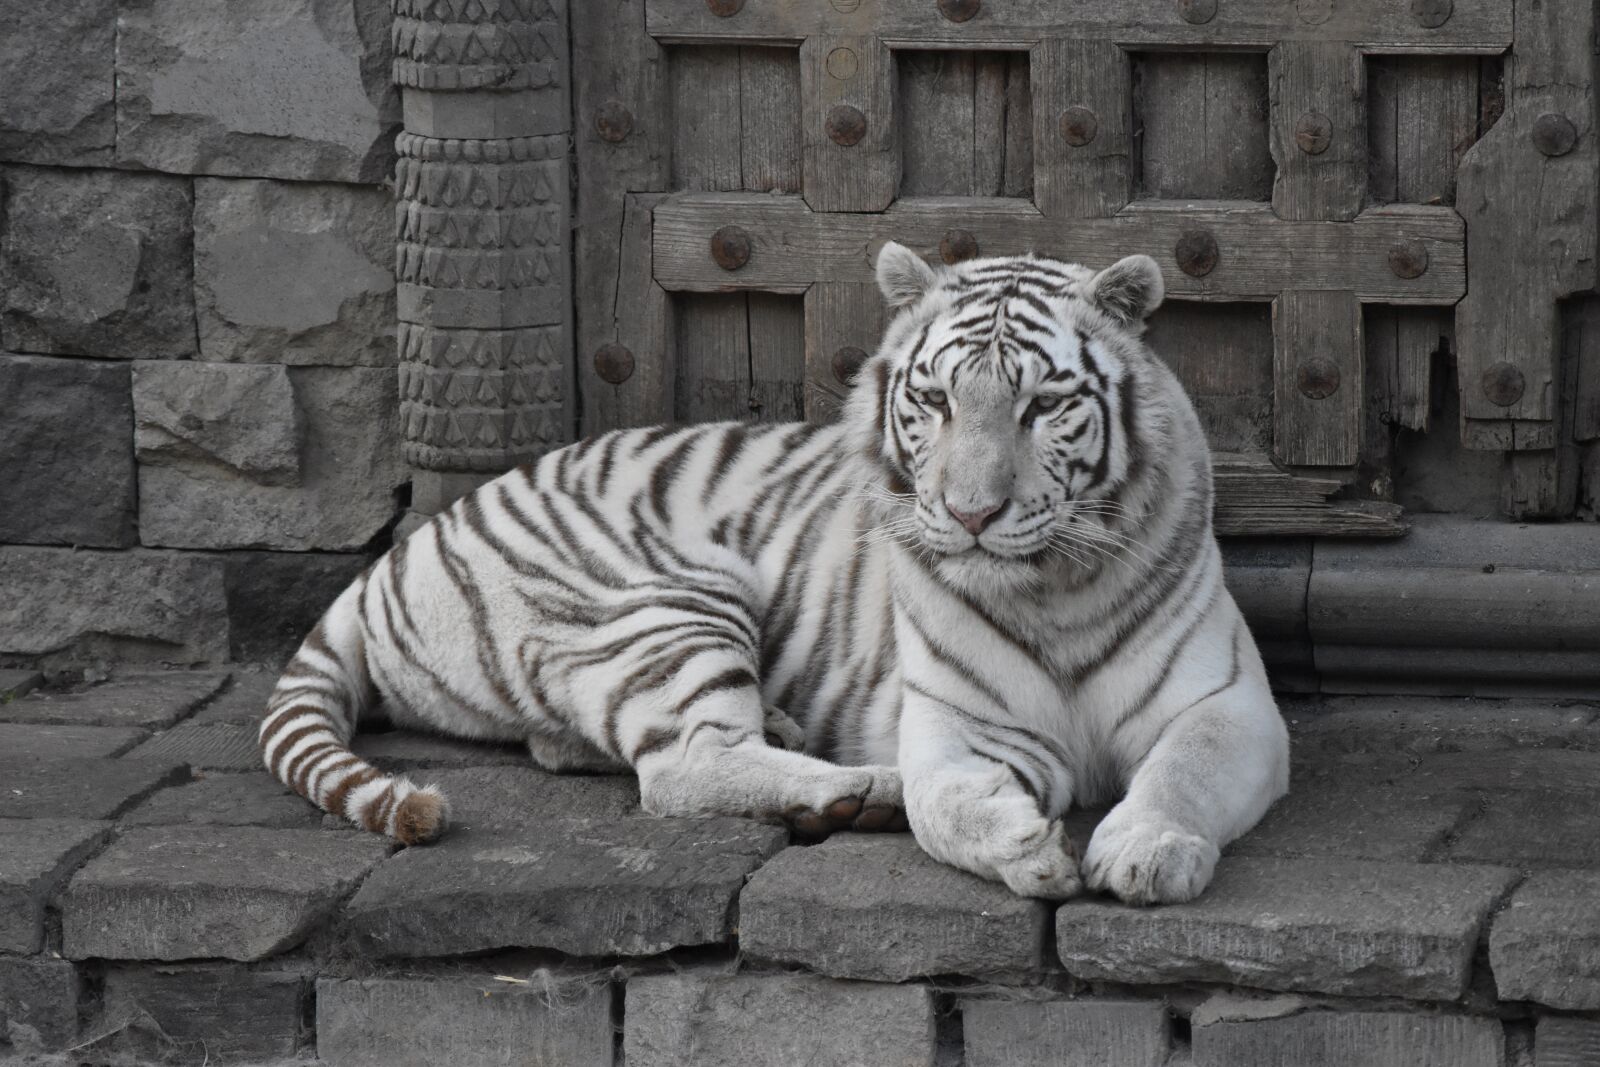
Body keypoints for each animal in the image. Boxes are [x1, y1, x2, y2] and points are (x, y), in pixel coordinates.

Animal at [258, 241, 1289, 904]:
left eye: (1042, 406)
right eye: (934, 400)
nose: (969, 515)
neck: (1052, 590)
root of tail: (402, 548)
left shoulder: (1229, 704)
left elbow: (1185, 768)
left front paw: (1148, 853)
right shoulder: (958, 723)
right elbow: (946, 801)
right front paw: (1028, 849)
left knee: (586, 746)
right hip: (668, 600)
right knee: (680, 766)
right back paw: (857, 789)